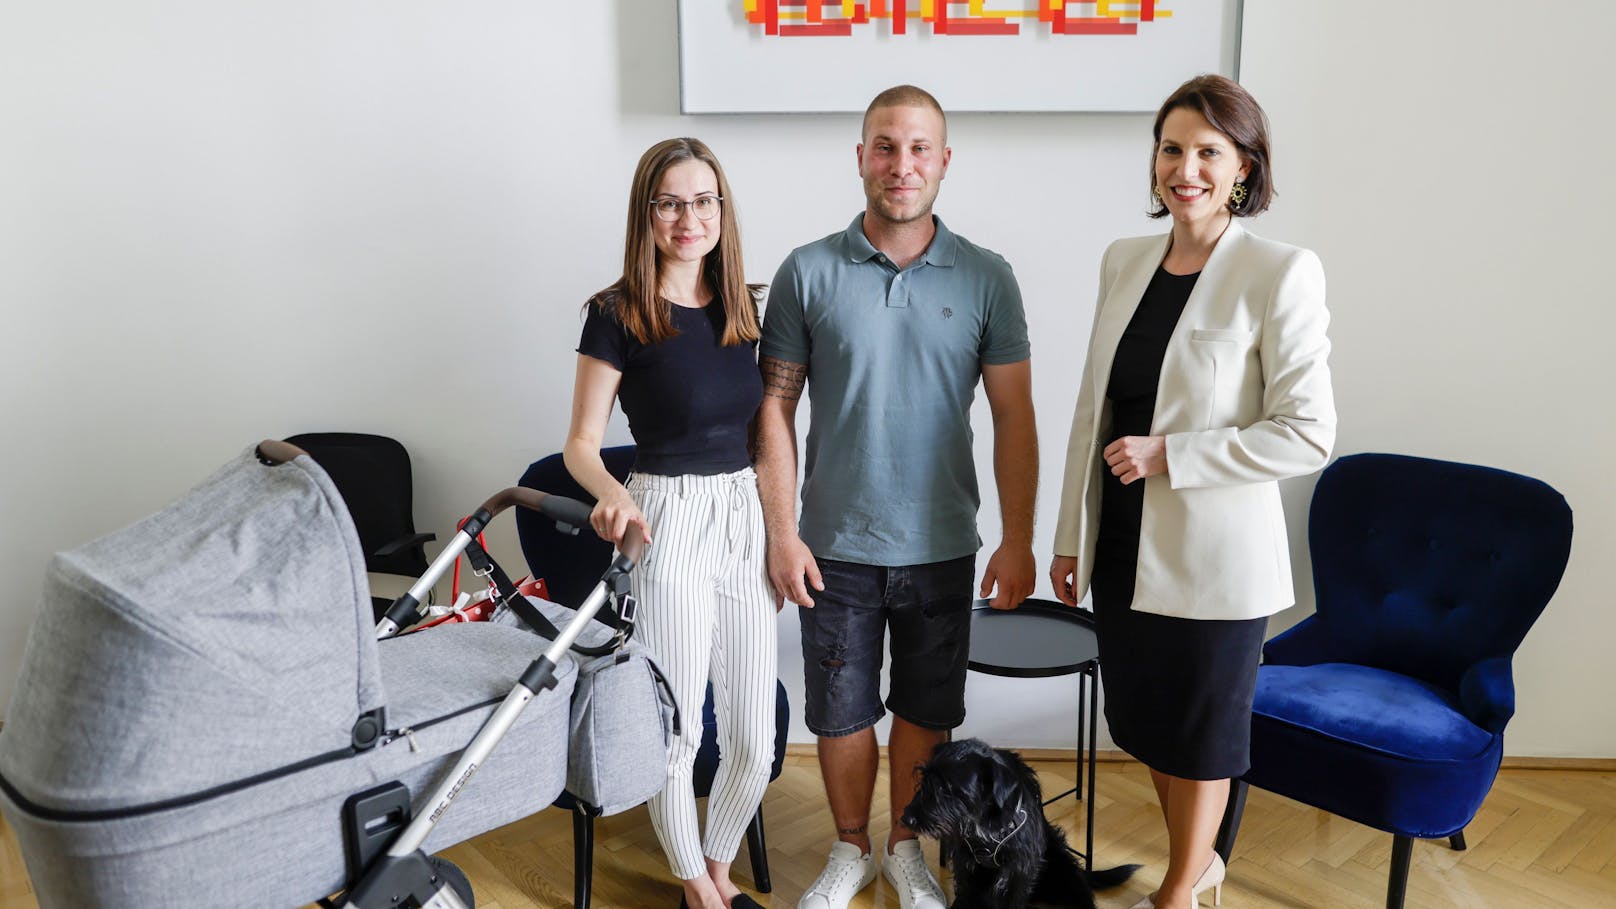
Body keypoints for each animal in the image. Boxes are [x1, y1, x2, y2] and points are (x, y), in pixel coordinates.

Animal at [904, 737, 1144, 905]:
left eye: (946, 788)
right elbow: (964, 894)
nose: (906, 819)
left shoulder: (1019, 872)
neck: (985, 826)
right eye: (924, 779)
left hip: (1062, 864)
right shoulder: (965, 865)